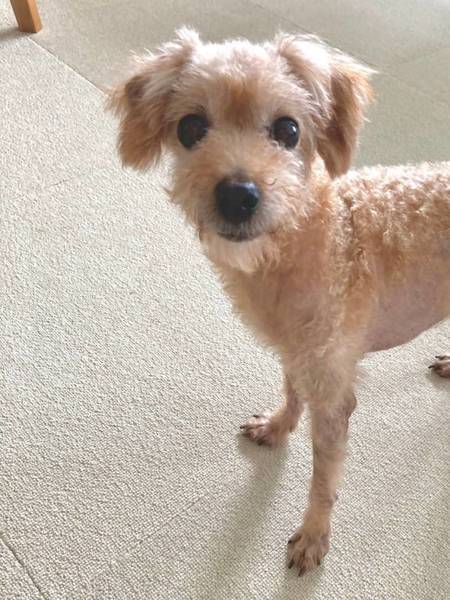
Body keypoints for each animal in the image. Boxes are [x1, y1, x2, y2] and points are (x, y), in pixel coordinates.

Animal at [108, 28, 450, 575]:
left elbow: (323, 480)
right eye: (190, 127)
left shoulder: (333, 393)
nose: (238, 194)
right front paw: (278, 425)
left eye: (289, 129)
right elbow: (290, 390)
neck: (308, 235)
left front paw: (313, 536)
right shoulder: (295, 349)